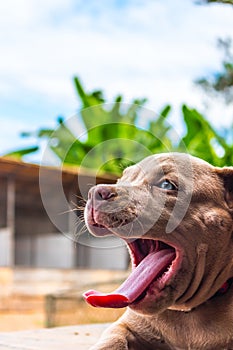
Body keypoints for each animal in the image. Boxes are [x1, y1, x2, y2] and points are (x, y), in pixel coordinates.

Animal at [83, 153, 233, 350]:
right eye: (121, 180)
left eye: (167, 185)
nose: (95, 192)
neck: (187, 312)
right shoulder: (126, 325)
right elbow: (113, 338)